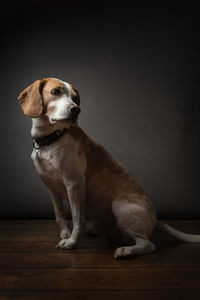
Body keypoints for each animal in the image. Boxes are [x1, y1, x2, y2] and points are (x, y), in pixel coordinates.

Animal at [18, 77, 199, 258]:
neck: (51, 140)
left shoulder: (74, 183)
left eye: (76, 98)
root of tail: (155, 219)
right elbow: (59, 215)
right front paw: (65, 232)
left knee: (148, 244)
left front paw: (72, 241)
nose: (76, 109)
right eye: (56, 92)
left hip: (119, 207)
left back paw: (127, 250)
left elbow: (77, 218)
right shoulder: (51, 186)